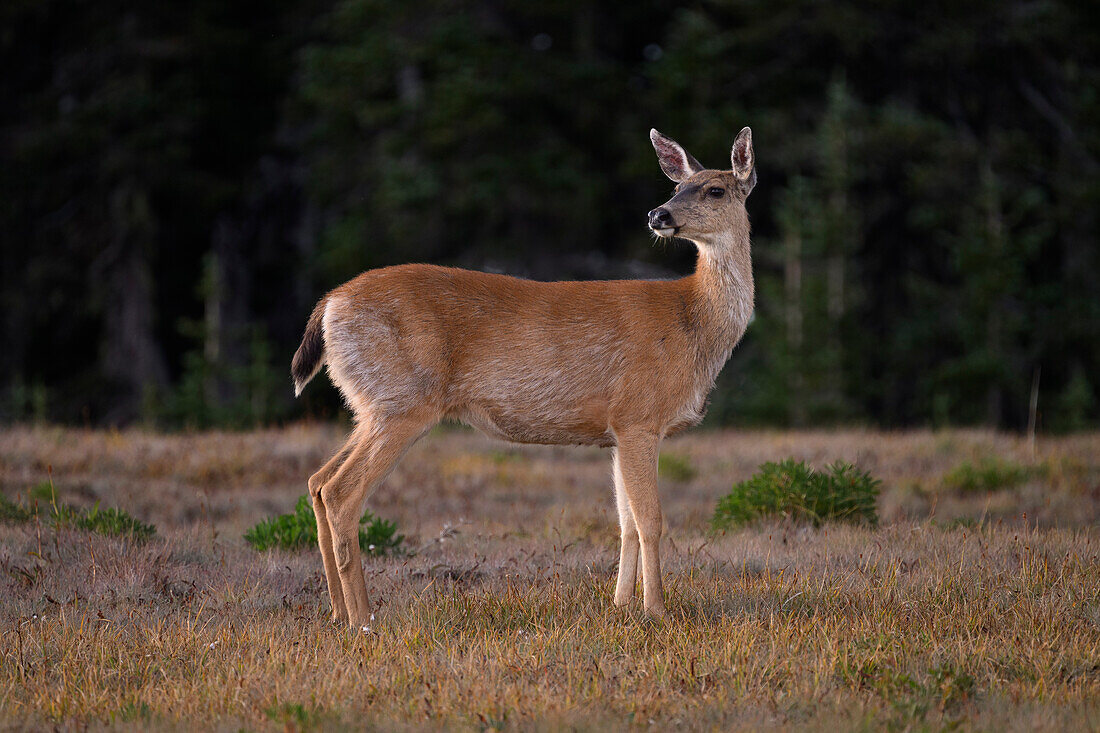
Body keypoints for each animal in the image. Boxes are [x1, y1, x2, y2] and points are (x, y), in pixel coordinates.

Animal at [292, 127, 756, 620]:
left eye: (715, 189)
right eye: (677, 187)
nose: (658, 214)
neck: (693, 324)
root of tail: (330, 304)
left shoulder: (617, 429)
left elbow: (626, 522)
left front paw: (621, 605)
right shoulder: (639, 416)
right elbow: (651, 521)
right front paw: (657, 611)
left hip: (370, 403)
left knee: (318, 482)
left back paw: (338, 613)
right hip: (402, 401)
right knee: (341, 493)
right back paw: (364, 620)